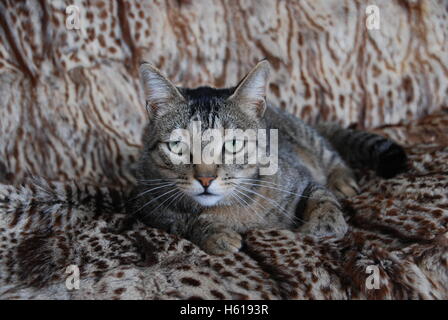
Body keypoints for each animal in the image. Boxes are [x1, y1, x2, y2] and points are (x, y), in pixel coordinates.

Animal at [131, 60, 408, 255]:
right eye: (177, 146)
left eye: (232, 144)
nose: (206, 179)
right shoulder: (147, 207)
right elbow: (184, 222)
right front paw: (215, 234)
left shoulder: (302, 179)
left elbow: (323, 200)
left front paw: (323, 226)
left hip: (310, 140)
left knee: (332, 157)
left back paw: (341, 180)